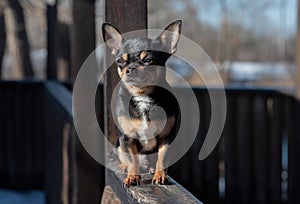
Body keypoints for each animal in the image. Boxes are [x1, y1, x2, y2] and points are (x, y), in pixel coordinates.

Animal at [102, 19, 182, 187]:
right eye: (120, 61)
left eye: (148, 60)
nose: (130, 68)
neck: (142, 96)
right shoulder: (127, 139)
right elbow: (133, 160)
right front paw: (132, 177)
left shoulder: (167, 138)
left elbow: (162, 159)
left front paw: (160, 175)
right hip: (119, 146)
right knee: (126, 159)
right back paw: (125, 167)